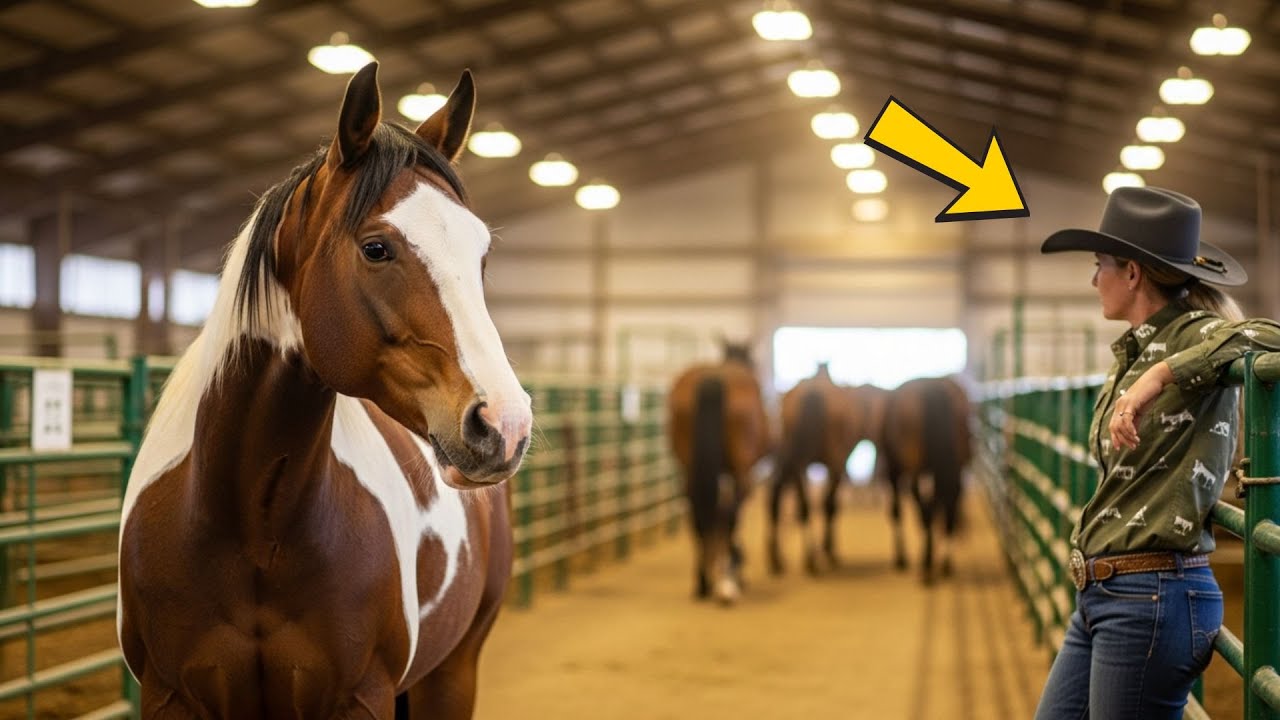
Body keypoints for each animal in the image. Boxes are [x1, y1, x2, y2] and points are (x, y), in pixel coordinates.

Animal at [117, 63, 532, 719]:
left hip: (454, 672)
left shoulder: (361, 698)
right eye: (376, 248)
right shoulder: (169, 697)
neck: (252, 526)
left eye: (482, 256)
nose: (505, 426)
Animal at [667, 340, 771, 604]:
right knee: (730, 513)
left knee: (697, 514)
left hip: (689, 471)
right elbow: (730, 518)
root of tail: (714, 378)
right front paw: (734, 569)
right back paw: (728, 583)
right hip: (741, 473)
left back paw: (704, 581)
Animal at [766, 364, 870, 575]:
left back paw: (778, 559)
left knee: (780, 496)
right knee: (813, 504)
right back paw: (812, 558)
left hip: (791, 458)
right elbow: (831, 505)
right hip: (823, 459)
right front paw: (829, 551)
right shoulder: (838, 464)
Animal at [880, 375, 972, 584]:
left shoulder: (893, 470)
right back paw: (944, 563)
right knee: (949, 500)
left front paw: (901, 559)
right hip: (954, 466)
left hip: (913, 467)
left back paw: (927, 565)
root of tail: (933, 387)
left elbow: (896, 511)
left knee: (925, 507)